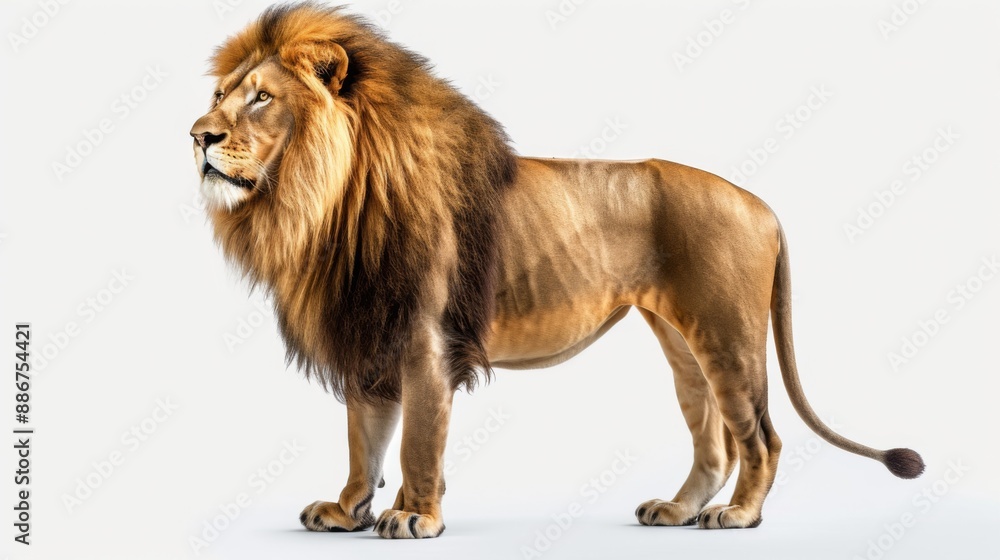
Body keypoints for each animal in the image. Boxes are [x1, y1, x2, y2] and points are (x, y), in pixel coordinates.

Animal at [189, 3, 924, 538]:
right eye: (220, 94)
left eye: (261, 99)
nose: (198, 135)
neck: (323, 202)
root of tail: (761, 203)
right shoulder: (368, 331)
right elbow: (362, 440)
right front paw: (347, 511)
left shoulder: (426, 340)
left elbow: (416, 440)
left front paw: (414, 515)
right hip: (682, 342)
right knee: (713, 441)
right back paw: (677, 511)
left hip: (728, 333)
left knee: (761, 438)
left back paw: (739, 516)